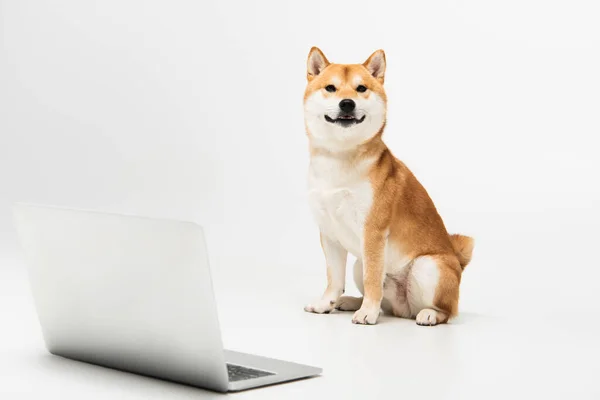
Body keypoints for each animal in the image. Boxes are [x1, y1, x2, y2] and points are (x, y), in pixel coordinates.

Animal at [304, 48, 474, 326]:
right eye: (330, 88)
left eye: (361, 88)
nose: (347, 103)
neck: (340, 158)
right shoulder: (329, 233)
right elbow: (334, 278)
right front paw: (325, 303)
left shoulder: (373, 232)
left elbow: (373, 280)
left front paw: (368, 313)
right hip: (359, 264)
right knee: (384, 303)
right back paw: (350, 302)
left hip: (428, 266)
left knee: (447, 311)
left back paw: (429, 314)